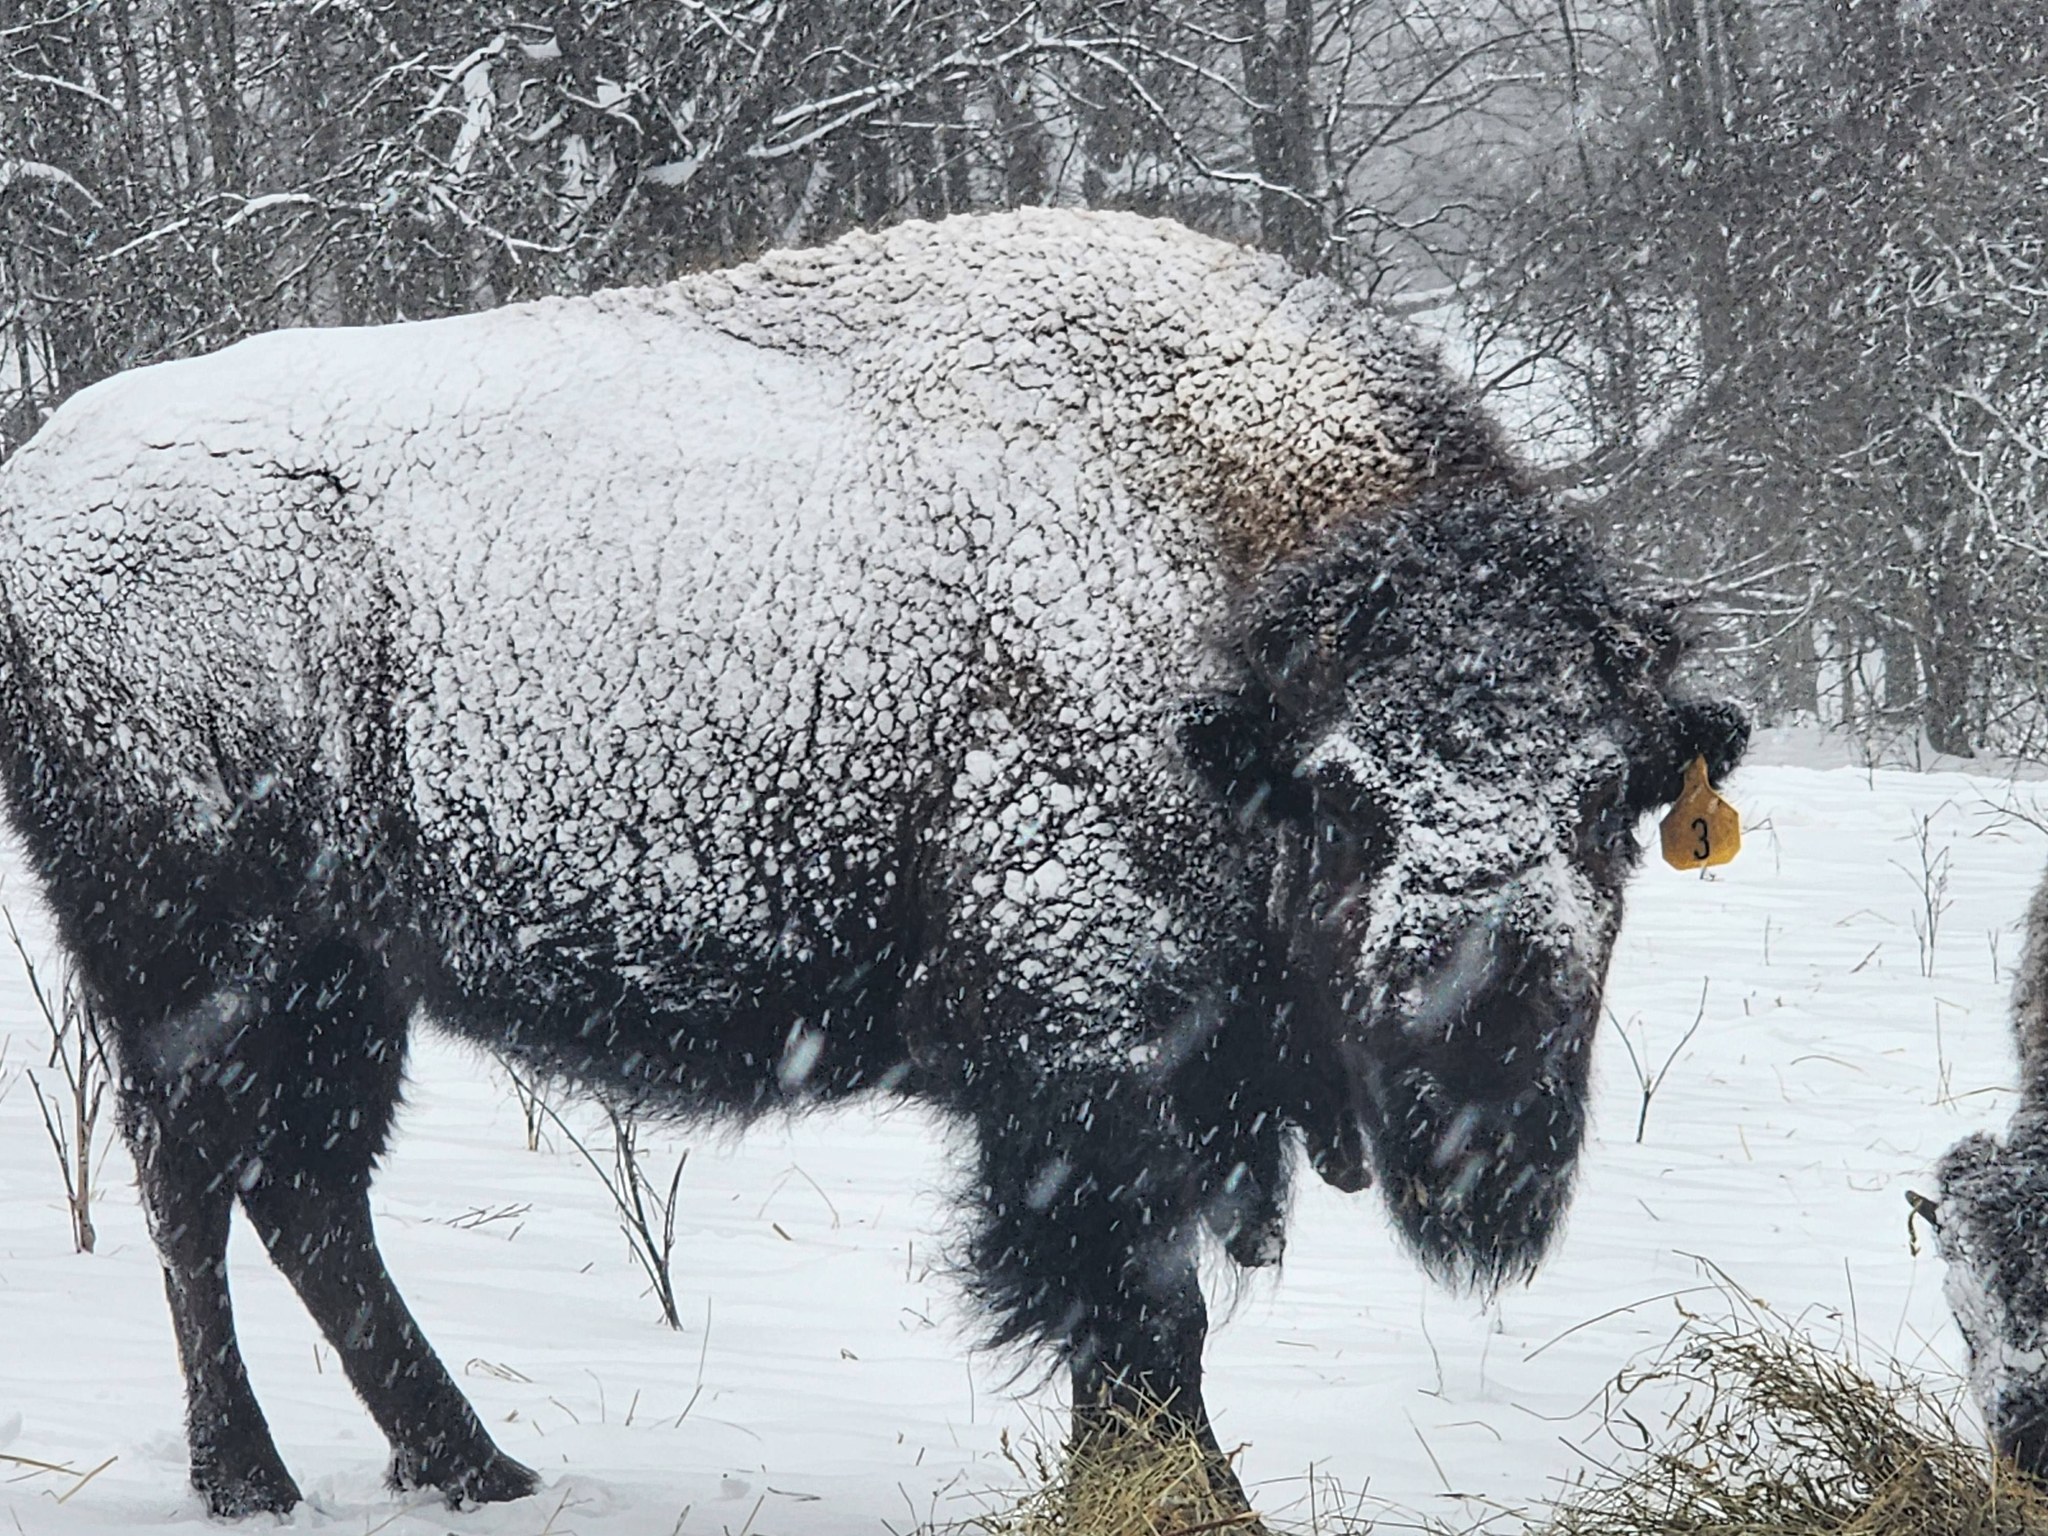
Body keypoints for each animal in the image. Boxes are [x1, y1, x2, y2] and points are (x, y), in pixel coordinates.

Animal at [0, 209, 1745, 1518]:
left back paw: (477, 1465)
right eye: (1344, 799)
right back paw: (250, 1478)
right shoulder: (1085, 1063)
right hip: (194, 958)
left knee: (306, 1192)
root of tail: (39, 489)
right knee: (194, 1185)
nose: (1488, 1060)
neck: (1225, 581)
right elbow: (1140, 1319)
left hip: (341, 979)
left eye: (1607, 796)